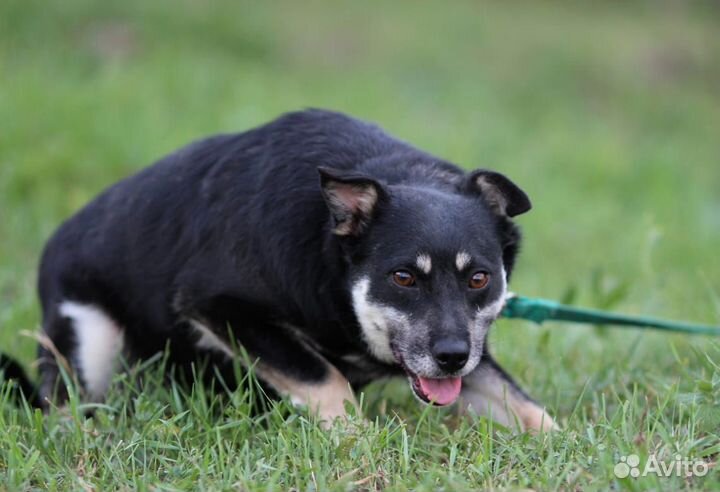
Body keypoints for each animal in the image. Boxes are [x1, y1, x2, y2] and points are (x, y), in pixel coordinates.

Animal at [2, 108, 556, 430]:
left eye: (479, 278)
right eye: (403, 278)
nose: (451, 358)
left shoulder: (472, 353)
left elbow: (526, 407)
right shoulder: (218, 307)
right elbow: (325, 379)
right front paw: (356, 444)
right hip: (90, 339)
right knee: (63, 410)